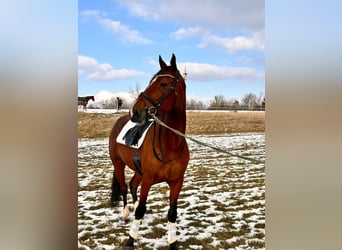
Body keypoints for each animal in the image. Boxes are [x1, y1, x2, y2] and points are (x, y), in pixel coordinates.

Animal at [108, 53, 190, 249]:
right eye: (150, 81)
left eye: (163, 84)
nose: (136, 111)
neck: (170, 146)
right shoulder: (148, 179)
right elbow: (140, 210)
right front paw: (130, 240)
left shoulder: (177, 182)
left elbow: (172, 212)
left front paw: (173, 242)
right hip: (118, 164)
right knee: (124, 187)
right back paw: (125, 214)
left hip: (138, 171)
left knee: (132, 185)